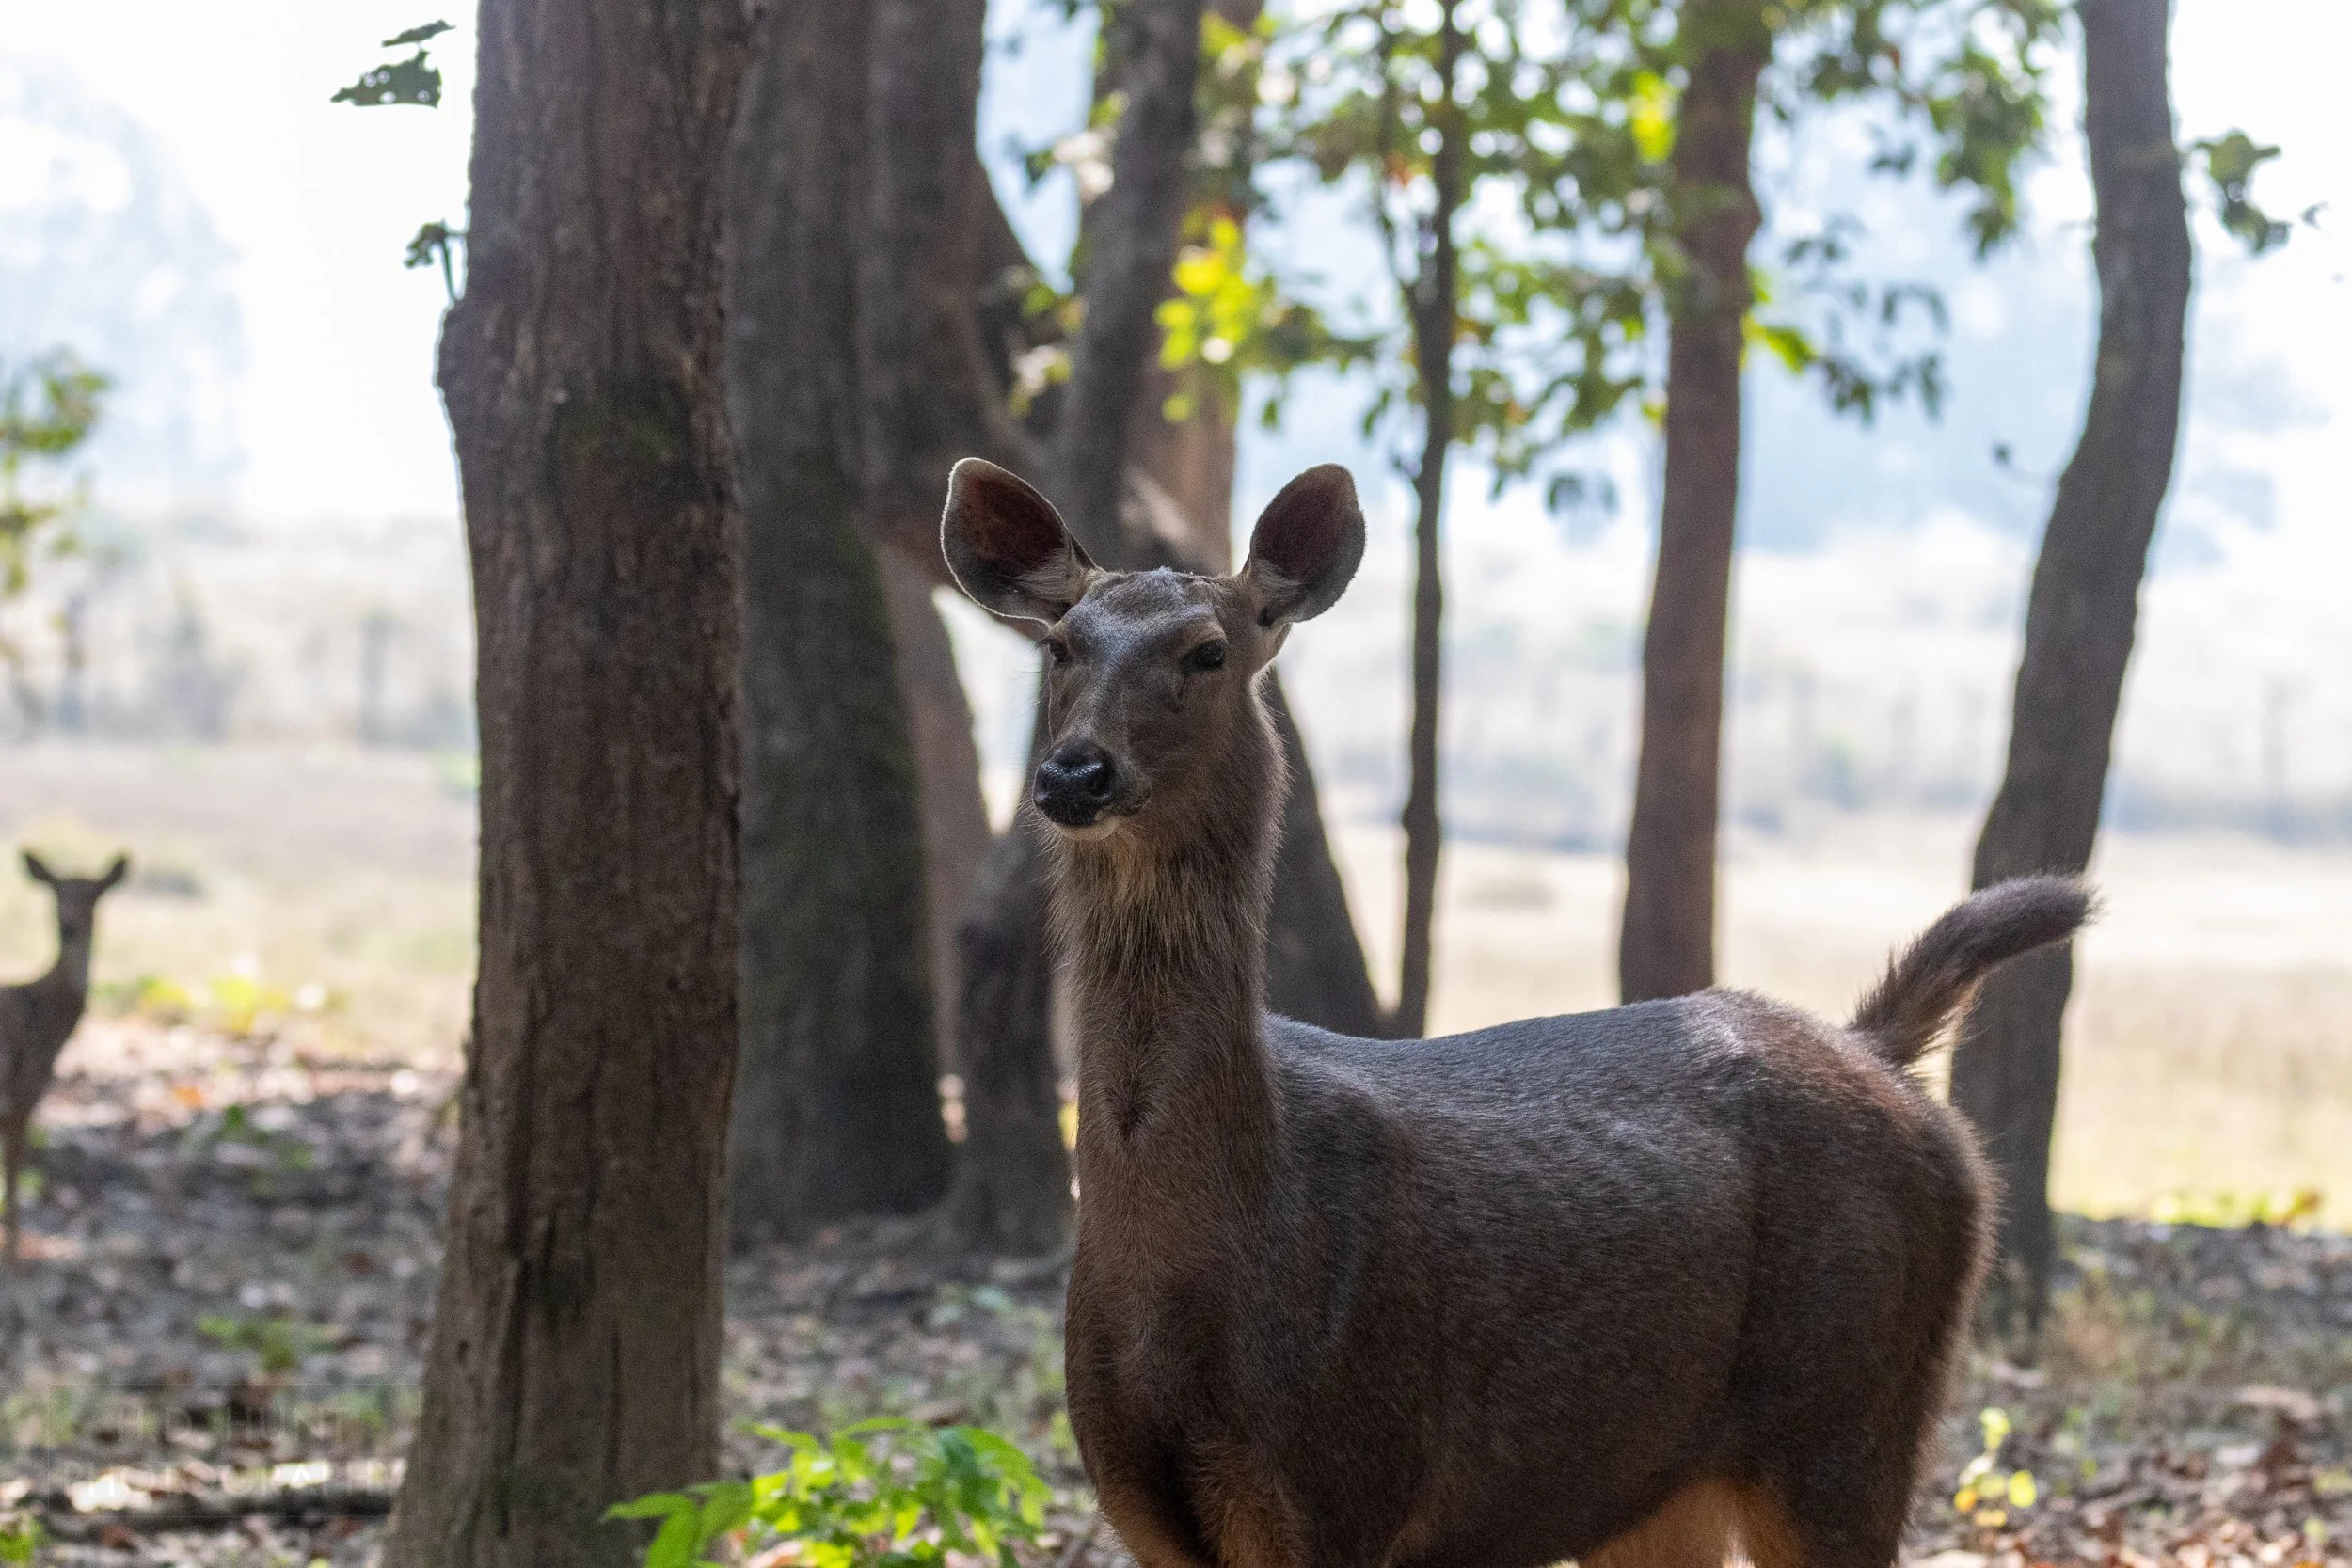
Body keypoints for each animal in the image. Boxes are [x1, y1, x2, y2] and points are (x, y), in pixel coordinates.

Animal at [2, 850, 127, 1263]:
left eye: (95, 894)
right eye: (56, 891)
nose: (69, 926)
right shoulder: (23, 1093)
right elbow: (13, 1172)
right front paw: (14, 1258)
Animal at [940, 457, 2091, 1568]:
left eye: (1207, 650)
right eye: (1059, 645)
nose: (1074, 771)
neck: (1189, 1267)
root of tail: (1879, 1053)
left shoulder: (1344, 1473)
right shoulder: (1142, 1501)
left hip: (1851, 1406)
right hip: (1649, 1481)